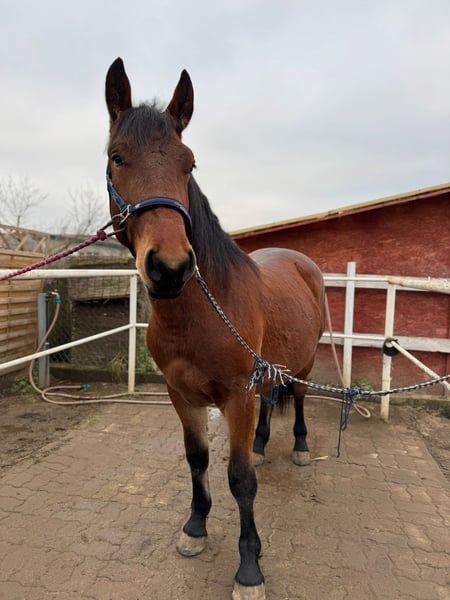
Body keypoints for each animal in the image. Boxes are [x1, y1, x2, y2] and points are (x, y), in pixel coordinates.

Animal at [105, 57, 325, 600]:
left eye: (190, 164)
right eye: (117, 158)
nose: (169, 267)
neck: (200, 313)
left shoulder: (235, 397)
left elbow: (239, 479)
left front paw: (249, 568)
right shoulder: (181, 395)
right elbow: (197, 460)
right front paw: (195, 527)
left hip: (304, 363)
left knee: (299, 398)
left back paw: (301, 449)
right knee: (271, 403)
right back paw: (265, 445)